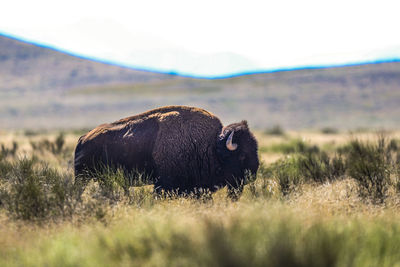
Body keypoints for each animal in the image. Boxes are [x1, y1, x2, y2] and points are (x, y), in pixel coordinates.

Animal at [74, 105, 260, 198]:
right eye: (242, 155)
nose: (252, 175)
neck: (211, 146)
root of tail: (83, 138)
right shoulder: (163, 184)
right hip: (83, 177)